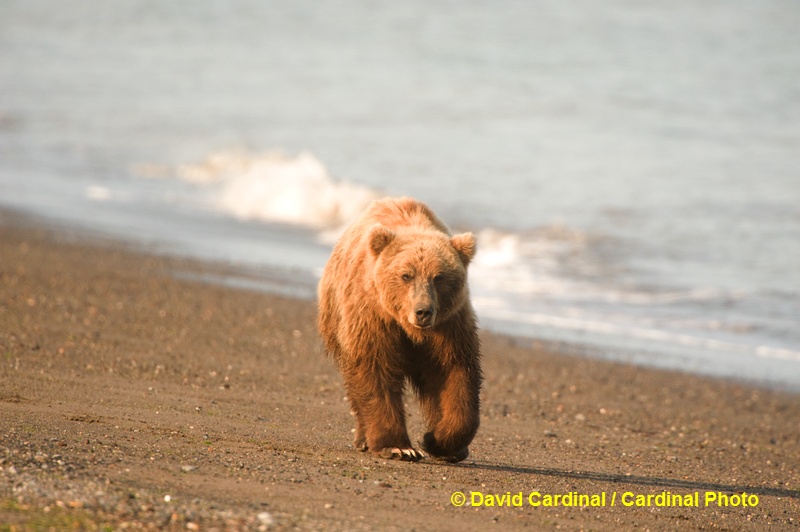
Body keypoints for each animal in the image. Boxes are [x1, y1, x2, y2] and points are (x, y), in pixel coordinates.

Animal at [318, 195, 482, 462]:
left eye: (439, 277)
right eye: (406, 275)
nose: (423, 311)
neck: (409, 329)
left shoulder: (449, 325)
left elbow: (453, 372)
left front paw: (440, 442)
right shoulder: (373, 318)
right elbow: (375, 371)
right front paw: (399, 447)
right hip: (337, 320)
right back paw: (364, 438)